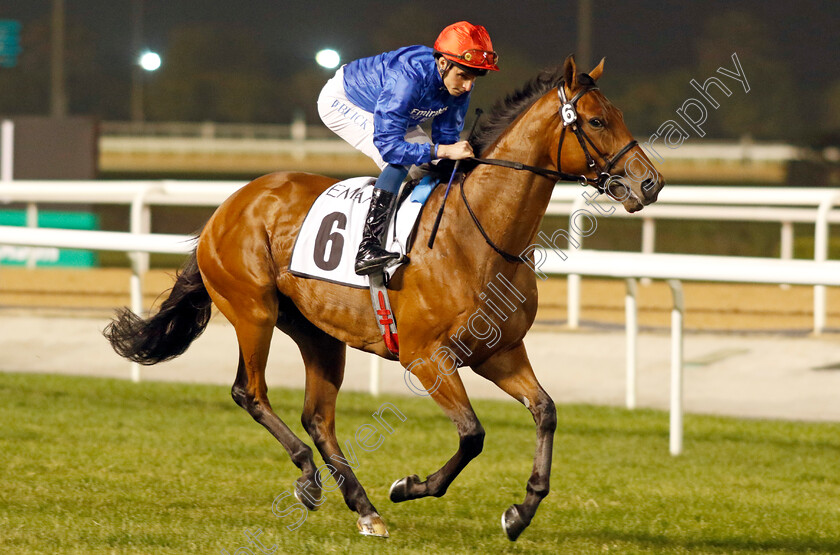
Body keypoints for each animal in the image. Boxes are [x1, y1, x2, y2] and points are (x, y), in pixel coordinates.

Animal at [105, 57, 664, 544]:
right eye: (596, 120)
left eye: (617, 115)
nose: (650, 182)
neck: (478, 235)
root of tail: (229, 205)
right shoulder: (426, 358)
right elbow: (472, 434)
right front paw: (410, 486)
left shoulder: (499, 352)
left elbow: (545, 411)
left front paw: (520, 512)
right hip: (253, 311)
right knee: (252, 392)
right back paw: (310, 479)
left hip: (317, 333)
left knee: (318, 417)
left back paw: (364, 508)